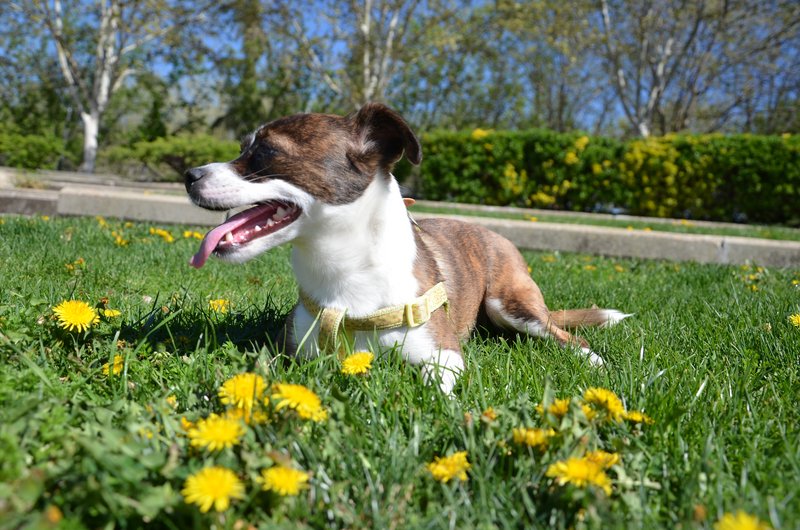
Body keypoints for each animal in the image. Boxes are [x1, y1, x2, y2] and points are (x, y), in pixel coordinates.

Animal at [184, 103, 628, 392]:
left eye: (266, 152)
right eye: (242, 148)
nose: (189, 174)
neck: (345, 272)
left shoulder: (445, 357)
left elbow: (434, 384)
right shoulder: (286, 353)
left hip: (512, 304)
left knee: (563, 334)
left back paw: (592, 360)